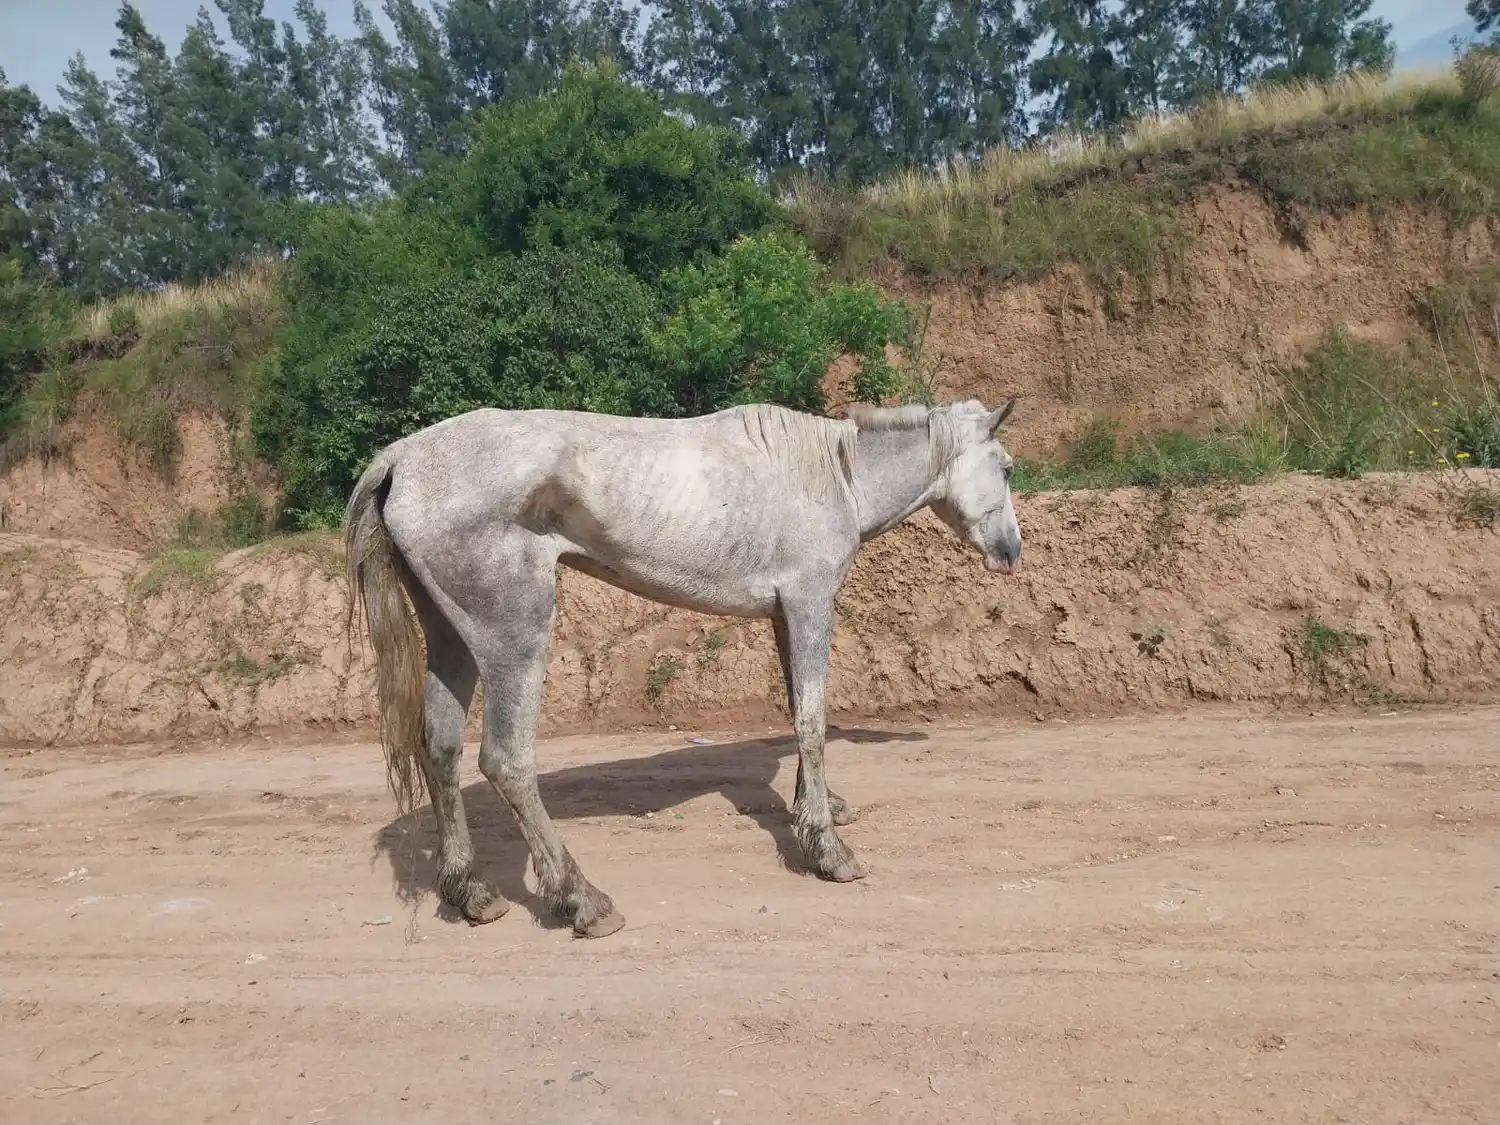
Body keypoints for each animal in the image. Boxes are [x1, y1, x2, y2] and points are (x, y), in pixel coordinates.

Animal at [344, 397, 1021, 938]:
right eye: (1008, 468)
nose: (1012, 552)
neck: (834, 475)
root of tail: (401, 459)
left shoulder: (784, 614)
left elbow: (798, 711)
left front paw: (819, 807)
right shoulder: (810, 604)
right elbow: (813, 720)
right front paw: (828, 849)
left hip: (450, 637)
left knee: (440, 747)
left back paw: (472, 894)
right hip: (513, 634)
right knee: (506, 761)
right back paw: (582, 902)